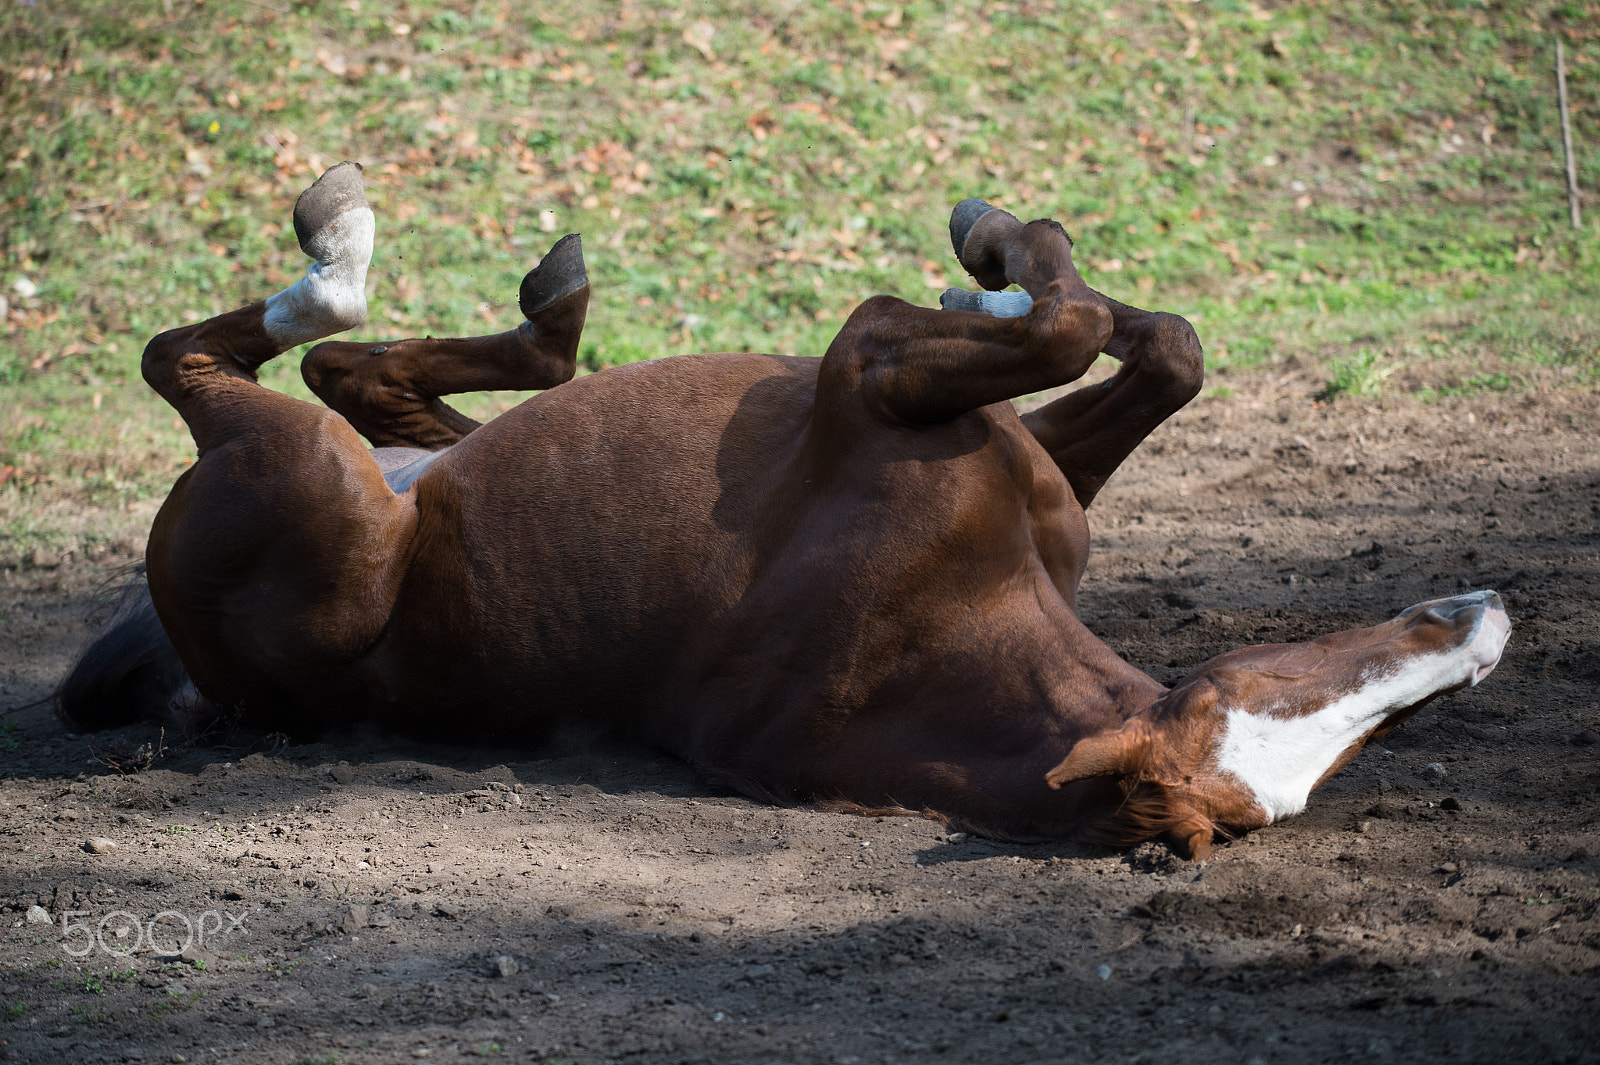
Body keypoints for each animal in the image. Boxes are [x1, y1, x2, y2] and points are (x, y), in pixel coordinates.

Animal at [58, 163, 1509, 859]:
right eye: (1267, 684)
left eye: (1359, 740)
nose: (1482, 620)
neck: (932, 621)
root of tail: (196, 671)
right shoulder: (876, 372)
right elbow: (1114, 330)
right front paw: (994, 248)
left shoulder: (899, 386)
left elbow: (1121, 337)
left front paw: (1000, 254)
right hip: (337, 483)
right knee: (271, 359)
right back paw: (450, 275)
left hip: (332, 485)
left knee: (278, 363)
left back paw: (431, 279)